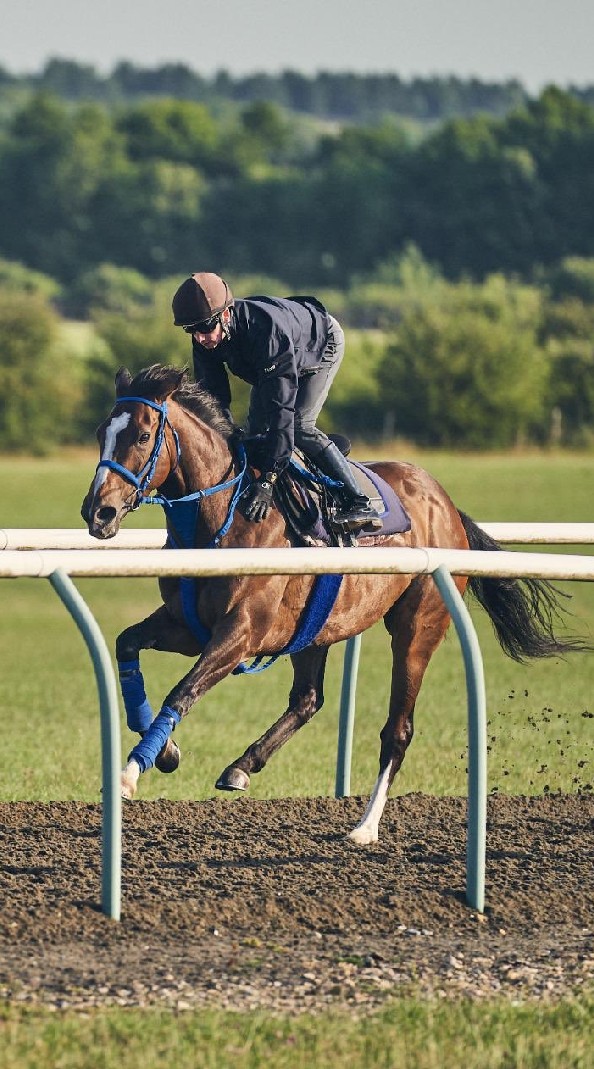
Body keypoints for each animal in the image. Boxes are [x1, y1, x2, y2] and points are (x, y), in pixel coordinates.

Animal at [82, 367, 585, 842]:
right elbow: (127, 645)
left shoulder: (241, 632)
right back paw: (242, 766)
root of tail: (445, 503)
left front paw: (130, 773)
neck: (224, 518)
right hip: (314, 630)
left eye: (142, 435)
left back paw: (365, 826)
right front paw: (165, 751)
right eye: (101, 431)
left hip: (418, 627)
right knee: (307, 700)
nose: (97, 512)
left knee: (397, 729)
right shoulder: (187, 626)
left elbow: (183, 691)